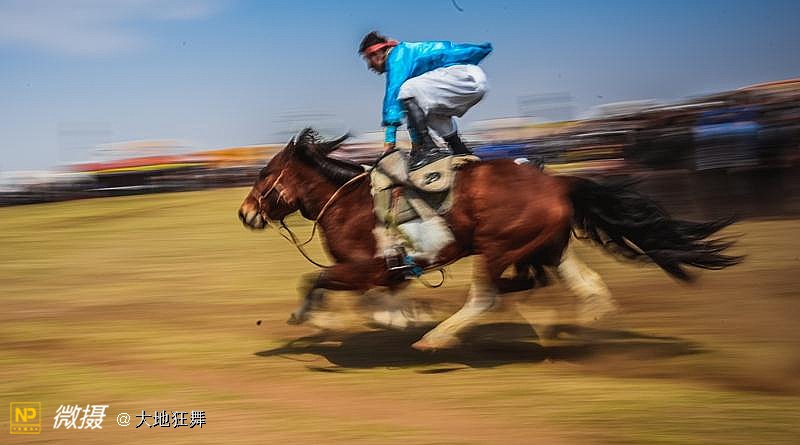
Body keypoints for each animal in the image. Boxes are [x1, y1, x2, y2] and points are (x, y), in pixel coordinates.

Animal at [238, 128, 740, 350]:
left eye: (263, 174)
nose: (244, 213)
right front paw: (401, 315)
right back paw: (568, 324)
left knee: (488, 295)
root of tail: (559, 183)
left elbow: (317, 282)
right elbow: (378, 302)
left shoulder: (364, 268)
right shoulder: (386, 273)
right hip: (546, 246)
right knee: (576, 283)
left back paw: (439, 337)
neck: (346, 202)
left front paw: (317, 320)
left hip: (499, 245)